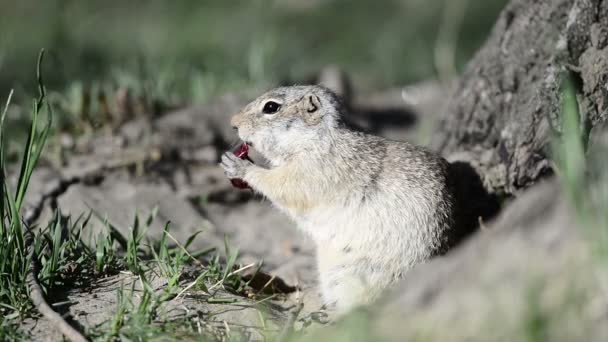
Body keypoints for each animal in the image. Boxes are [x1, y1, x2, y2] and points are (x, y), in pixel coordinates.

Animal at [222, 85, 456, 312]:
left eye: (271, 107)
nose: (232, 122)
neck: (316, 141)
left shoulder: (312, 171)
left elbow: (280, 185)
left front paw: (239, 166)